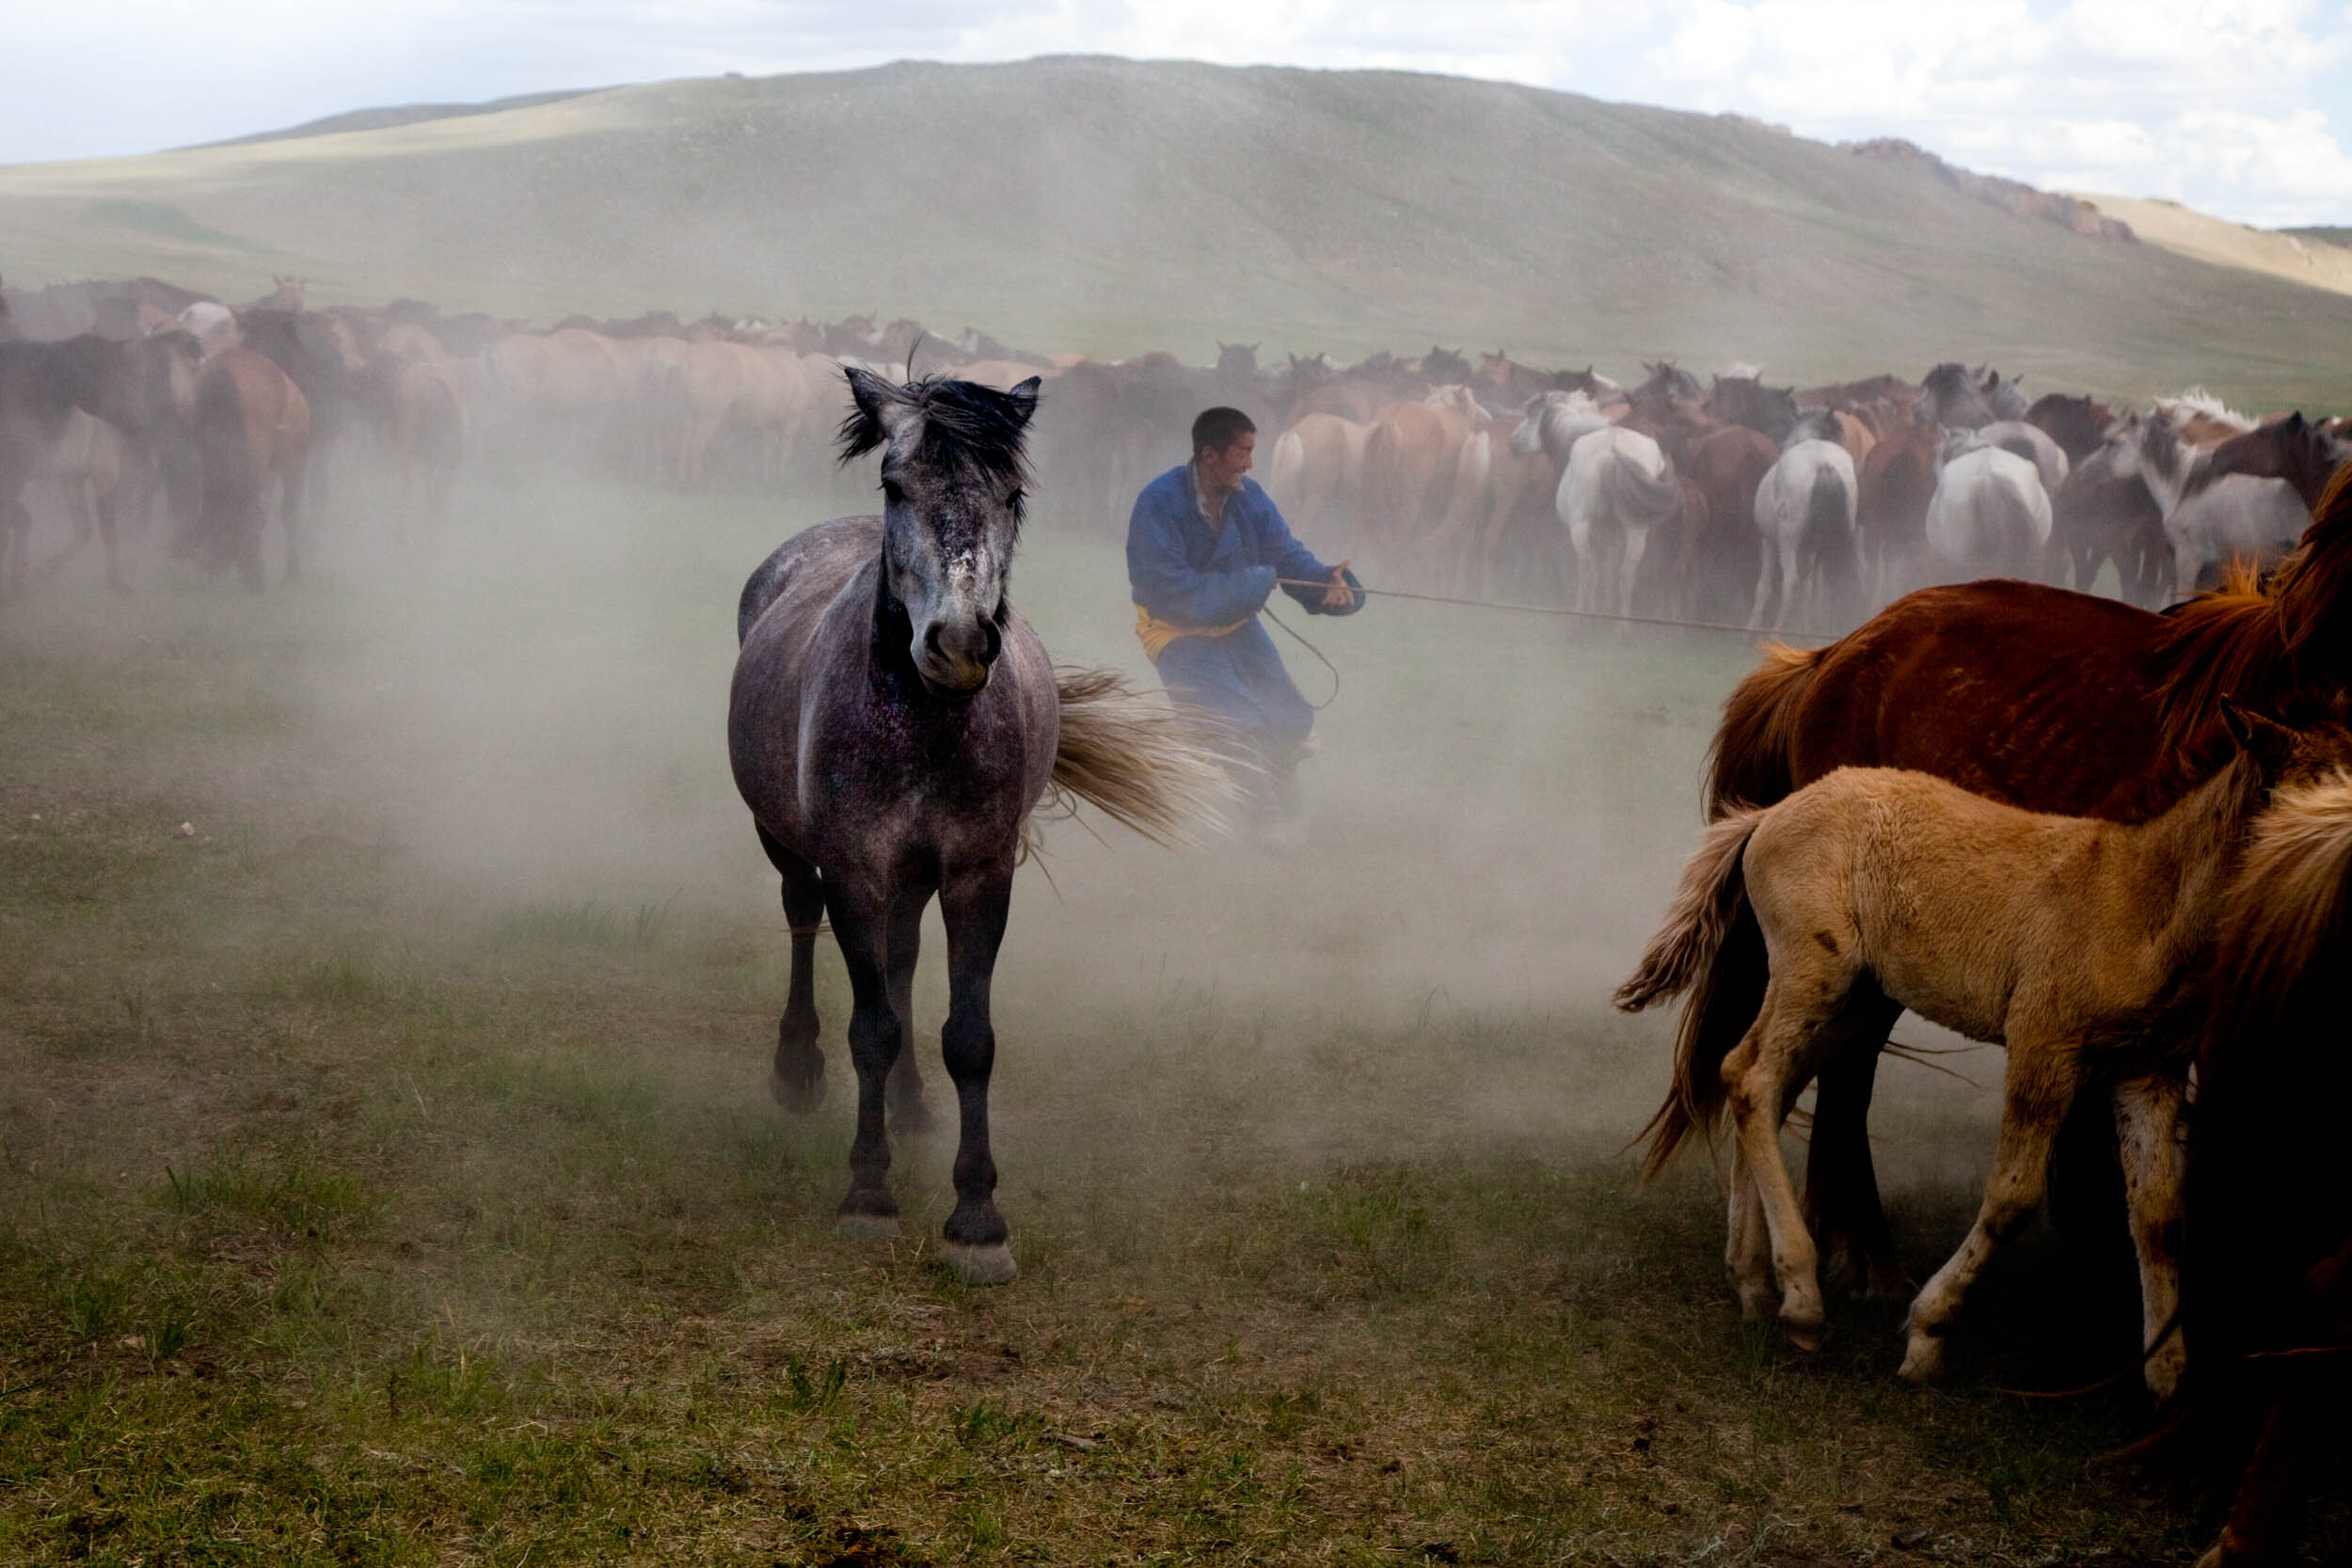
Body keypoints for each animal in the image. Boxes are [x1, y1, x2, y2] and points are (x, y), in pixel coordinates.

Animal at [724, 371, 1223, 1288]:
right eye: (895, 485)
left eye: (1012, 494)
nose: (957, 642)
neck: (924, 724)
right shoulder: (856, 869)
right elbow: (872, 1027)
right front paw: (869, 1196)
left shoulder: (977, 875)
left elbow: (968, 1036)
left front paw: (977, 1219)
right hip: (782, 838)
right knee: (802, 920)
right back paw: (798, 1068)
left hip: (917, 879)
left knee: (902, 959)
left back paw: (913, 1102)